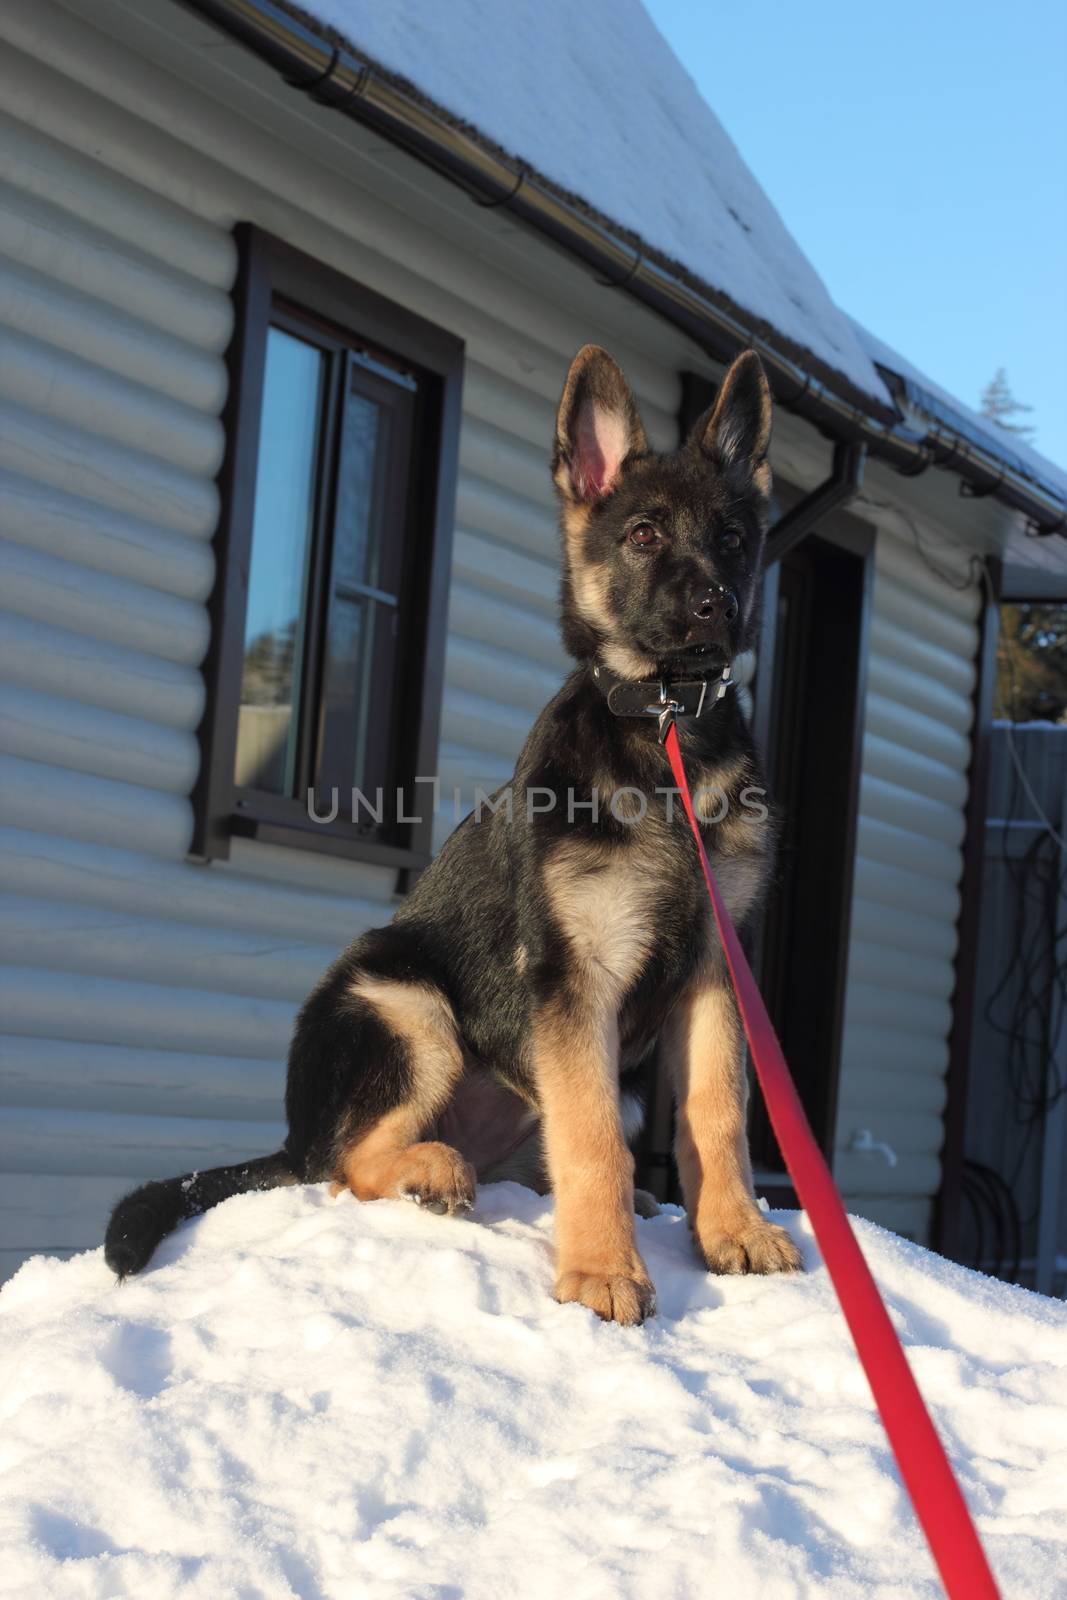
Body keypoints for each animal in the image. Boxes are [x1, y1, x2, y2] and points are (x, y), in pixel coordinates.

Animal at [106, 344, 799, 1318]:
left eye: (733, 539)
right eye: (642, 536)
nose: (715, 608)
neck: (666, 731)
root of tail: (293, 1130)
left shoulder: (712, 972)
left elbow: (716, 1109)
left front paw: (731, 1229)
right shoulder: (573, 978)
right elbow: (593, 1136)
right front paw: (600, 1270)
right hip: (407, 1005)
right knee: (340, 1166)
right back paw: (428, 1167)